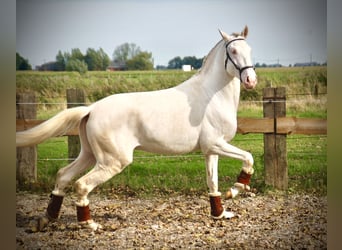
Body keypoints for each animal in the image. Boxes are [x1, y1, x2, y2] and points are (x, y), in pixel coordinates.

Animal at [16, 26, 256, 231]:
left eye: (250, 50)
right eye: (233, 50)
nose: (250, 80)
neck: (211, 96)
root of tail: (92, 109)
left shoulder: (210, 149)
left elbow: (212, 181)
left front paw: (220, 213)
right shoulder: (216, 144)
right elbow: (249, 157)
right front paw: (235, 190)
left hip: (90, 155)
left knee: (63, 176)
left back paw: (46, 219)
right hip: (113, 162)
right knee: (81, 184)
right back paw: (90, 224)